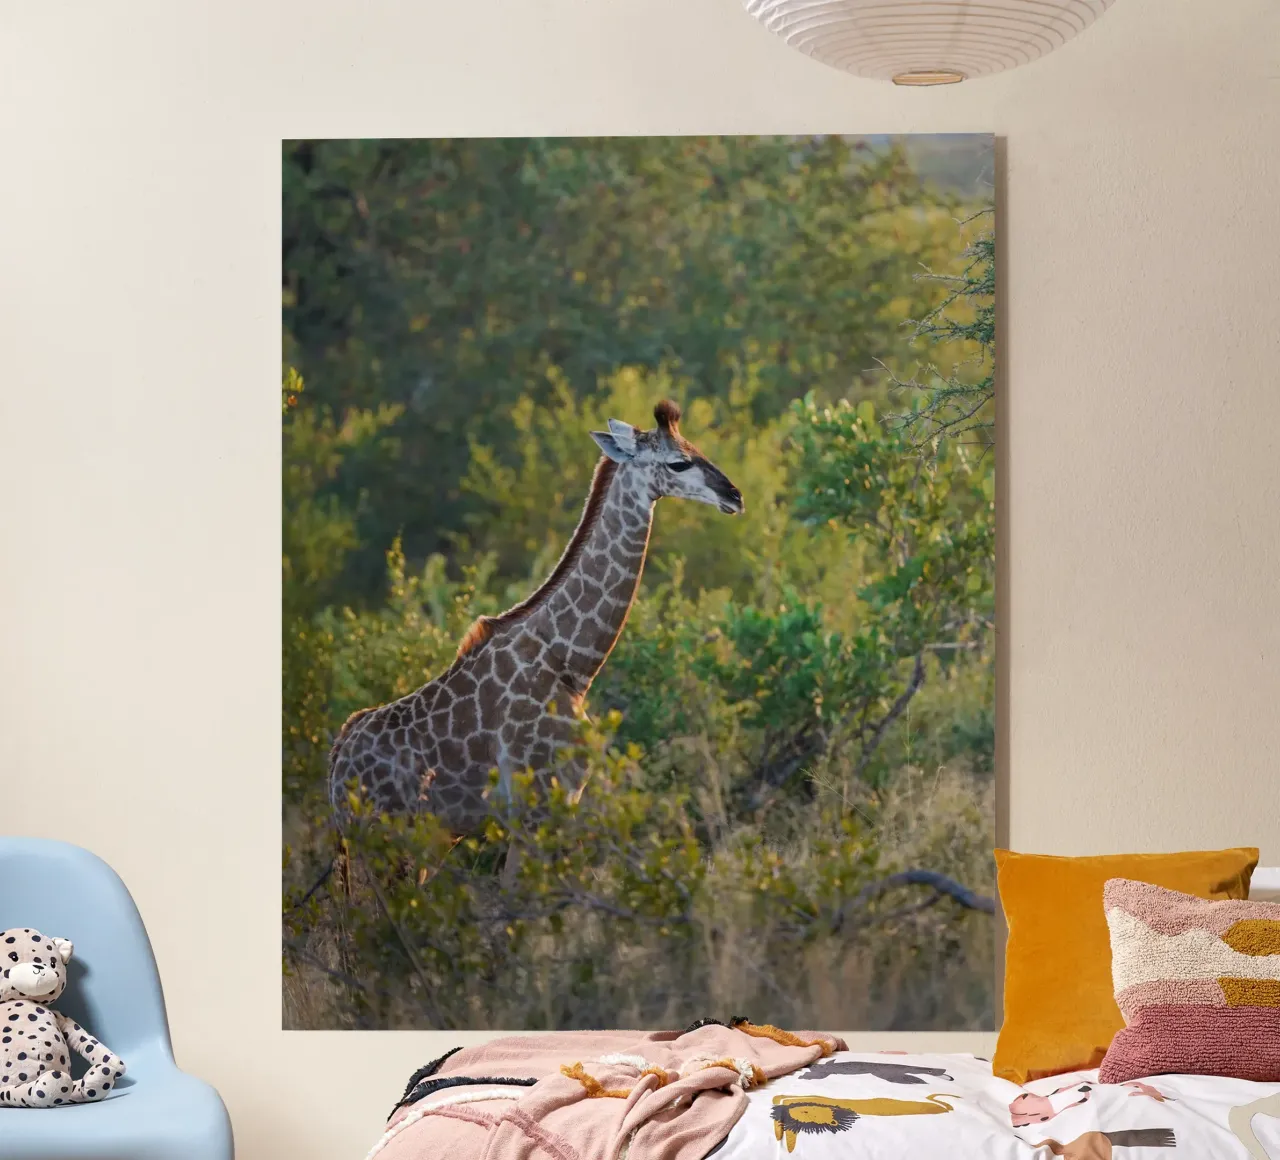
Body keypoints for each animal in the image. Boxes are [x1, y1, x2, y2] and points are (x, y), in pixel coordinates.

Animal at [327, 399, 744, 835]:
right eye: (679, 463)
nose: (735, 495)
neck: (572, 663)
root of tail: (336, 769)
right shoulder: (534, 803)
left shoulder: (561, 799)